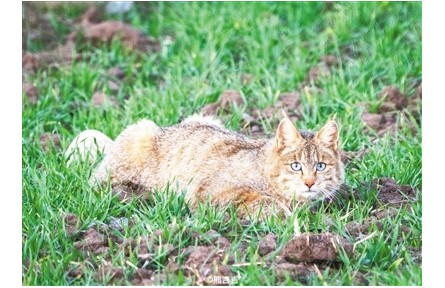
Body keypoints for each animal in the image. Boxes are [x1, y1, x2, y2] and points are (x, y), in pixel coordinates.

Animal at [65, 115, 344, 218]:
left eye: (320, 166)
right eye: (296, 166)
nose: (310, 183)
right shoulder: (208, 191)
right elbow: (256, 197)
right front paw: (284, 213)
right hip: (140, 132)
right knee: (98, 183)